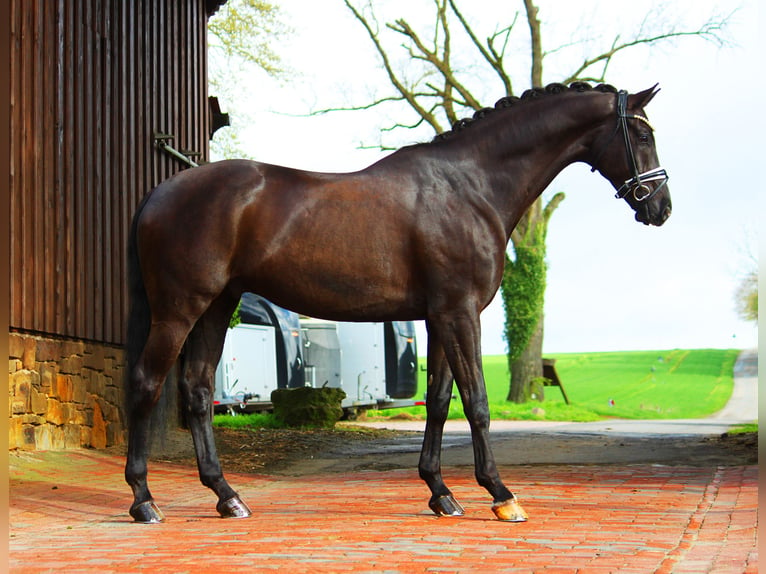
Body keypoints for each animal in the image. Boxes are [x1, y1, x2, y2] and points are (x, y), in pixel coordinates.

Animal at [124, 82, 672, 528]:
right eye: (642, 134)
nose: (660, 207)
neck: (470, 187)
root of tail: (159, 193)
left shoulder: (438, 316)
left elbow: (439, 401)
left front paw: (442, 493)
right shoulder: (460, 312)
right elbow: (476, 402)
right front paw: (501, 495)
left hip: (218, 306)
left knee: (197, 391)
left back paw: (227, 497)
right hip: (179, 309)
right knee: (147, 385)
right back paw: (145, 501)